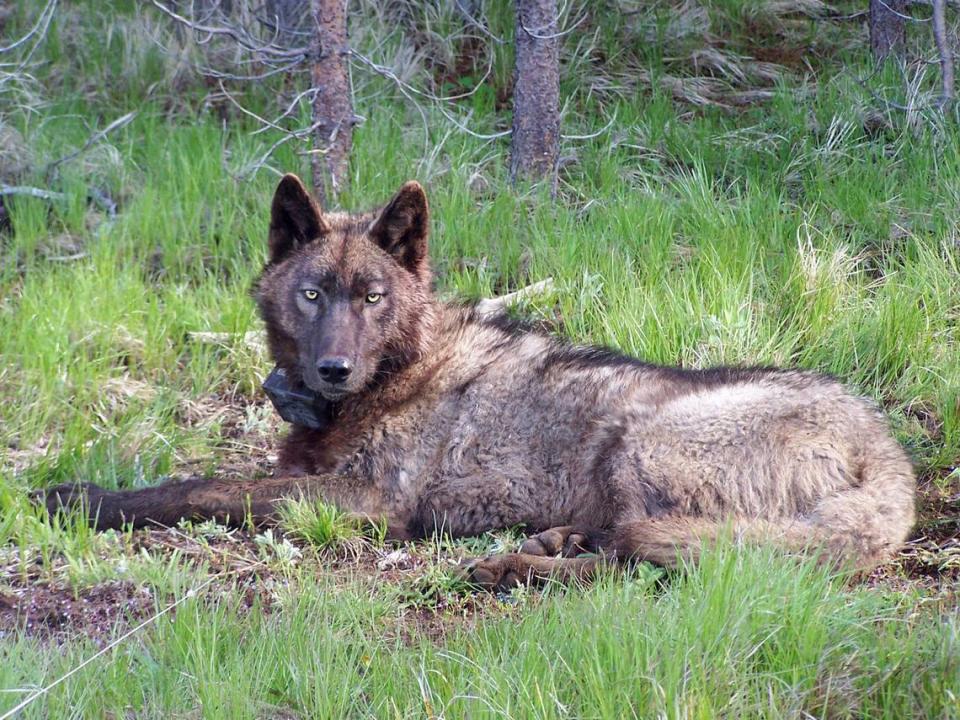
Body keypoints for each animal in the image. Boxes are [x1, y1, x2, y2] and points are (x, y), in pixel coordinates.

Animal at [43, 176, 916, 592]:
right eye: (315, 294)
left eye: (373, 297)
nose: (332, 369)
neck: (399, 372)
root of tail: (888, 450)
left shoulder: (364, 503)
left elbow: (201, 488)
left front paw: (83, 498)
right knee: (642, 548)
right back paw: (551, 543)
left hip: (637, 438)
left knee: (649, 558)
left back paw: (511, 567)